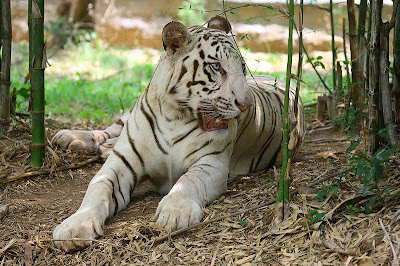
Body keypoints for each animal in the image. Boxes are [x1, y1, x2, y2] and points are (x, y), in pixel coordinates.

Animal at [51, 16, 304, 251]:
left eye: (242, 67)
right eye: (216, 67)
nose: (247, 105)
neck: (174, 116)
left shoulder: (211, 163)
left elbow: (188, 182)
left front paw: (175, 214)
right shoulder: (120, 164)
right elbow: (97, 189)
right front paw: (74, 227)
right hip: (125, 117)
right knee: (110, 129)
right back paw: (71, 138)